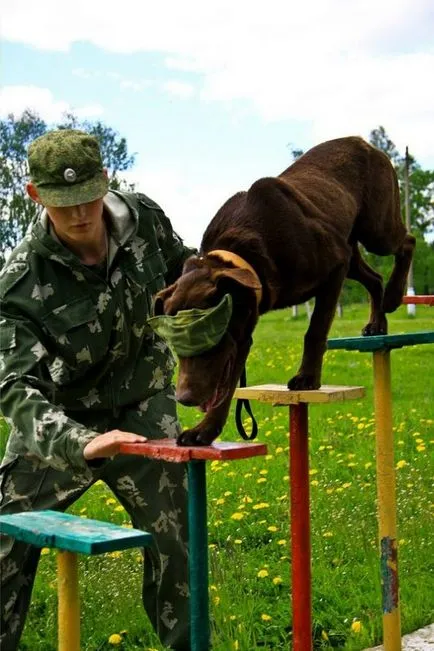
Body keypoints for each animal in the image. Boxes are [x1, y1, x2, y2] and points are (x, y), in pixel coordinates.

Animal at [154, 136, 416, 446]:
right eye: (176, 344)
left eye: (207, 338)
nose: (184, 399)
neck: (246, 251)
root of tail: (360, 140)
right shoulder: (241, 333)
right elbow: (227, 387)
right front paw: (204, 430)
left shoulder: (334, 268)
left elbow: (315, 330)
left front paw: (307, 379)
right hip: (353, 250)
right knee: (375, 278)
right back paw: (377, 324)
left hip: (375, 229)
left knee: (407, 242)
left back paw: (395, 295)